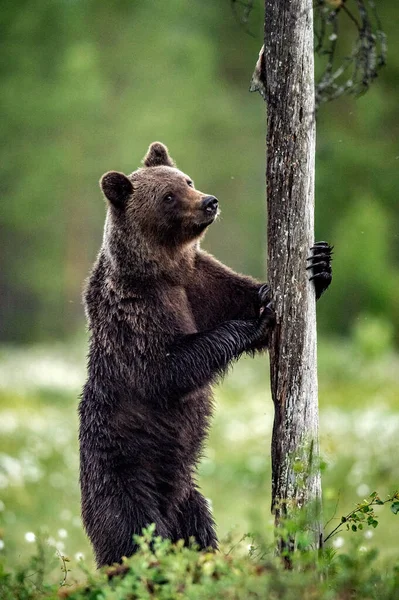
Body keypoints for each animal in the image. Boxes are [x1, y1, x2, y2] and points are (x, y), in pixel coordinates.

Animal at [79, 142, 334, 568]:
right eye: (168, 196)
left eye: (187, 180)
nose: (209, 202)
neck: (164, 270)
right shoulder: (135, 313)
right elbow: (167, 369)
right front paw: (256, 322)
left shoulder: (201, 280)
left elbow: (244, 291)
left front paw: (319, 264)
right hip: (122, 474)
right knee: (133, 538)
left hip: (188, 497)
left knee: (197, 532)